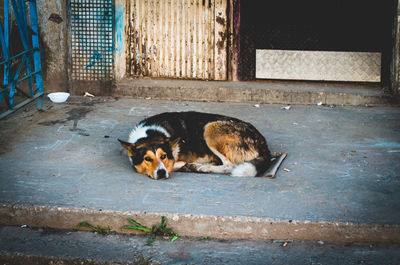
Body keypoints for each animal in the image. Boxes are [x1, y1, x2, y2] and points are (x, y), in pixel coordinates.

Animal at [117, 111, 286, 179]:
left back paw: (200, 167)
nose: (161, 173)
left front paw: (184, 165)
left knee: (229, 166)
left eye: (163, 156)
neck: (152, 133)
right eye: (147, 159)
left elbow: (177, 163)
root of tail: (262, 142)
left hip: (210, 129)